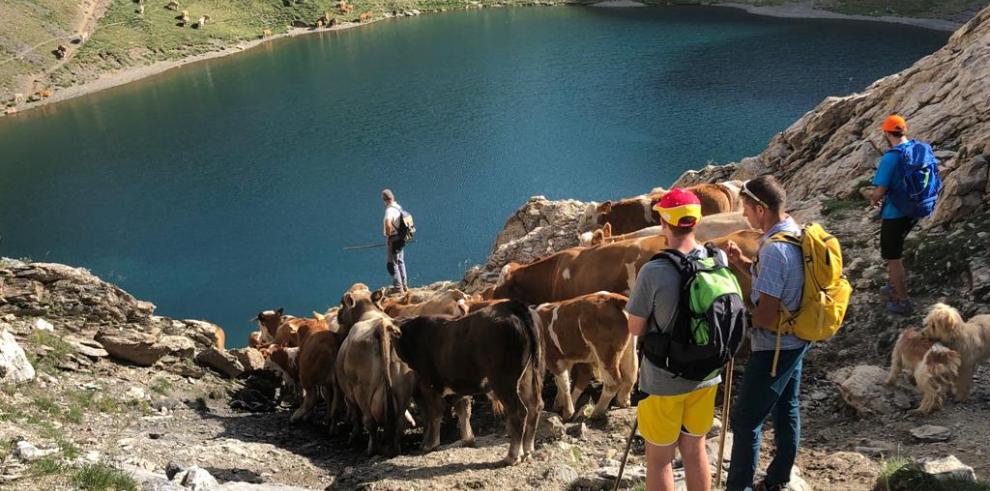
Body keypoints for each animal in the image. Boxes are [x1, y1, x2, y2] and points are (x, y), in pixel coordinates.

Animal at [394, 302, 544, 468]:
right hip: (529, 376)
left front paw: (430, 444)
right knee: (535, 406)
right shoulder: (458, 382)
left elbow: (435, 412)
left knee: (518, 412)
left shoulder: (429, 382)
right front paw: (467, 439)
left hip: (503, 381)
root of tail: (510, 305)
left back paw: (512, 456)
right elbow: (463, 408)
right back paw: (528, 451)